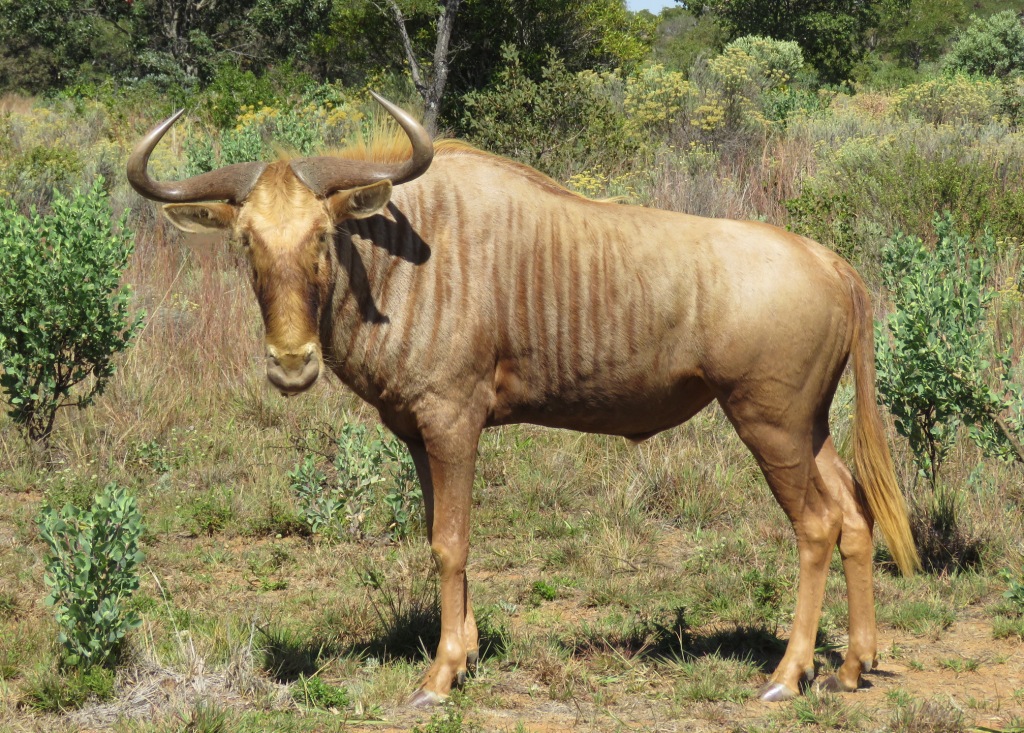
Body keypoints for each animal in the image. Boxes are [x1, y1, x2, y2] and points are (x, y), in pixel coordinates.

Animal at [127, 93, 919, 706]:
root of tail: (832, 262)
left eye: (323, 234)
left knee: (816, 526)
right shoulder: (418, 434)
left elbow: (450, 542)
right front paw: (468, 651)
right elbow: (443, 536)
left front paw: (439, 676)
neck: (402, 256)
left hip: (768, 424)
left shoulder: (453, 422)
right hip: (808, 427)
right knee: (854, 516)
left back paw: (788, 674)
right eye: (244, 241)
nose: (292, 364)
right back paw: (852, 666)